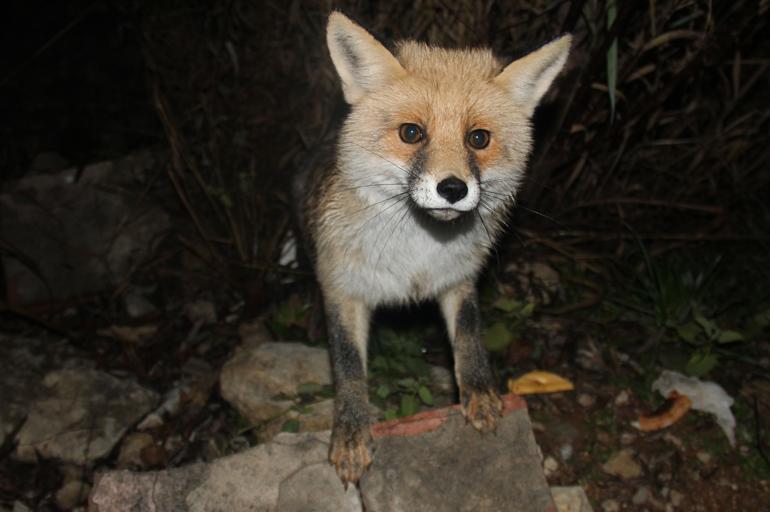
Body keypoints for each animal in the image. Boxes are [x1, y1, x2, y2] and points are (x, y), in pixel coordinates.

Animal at [293, 12, 572, 485]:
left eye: (478, 139)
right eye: (411, 133)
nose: (453, 189)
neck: (417, 256)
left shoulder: (459, 279)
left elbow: (470, 336)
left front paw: (479, 393)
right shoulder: (344, 289)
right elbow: (348, 367)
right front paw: (351, 433)